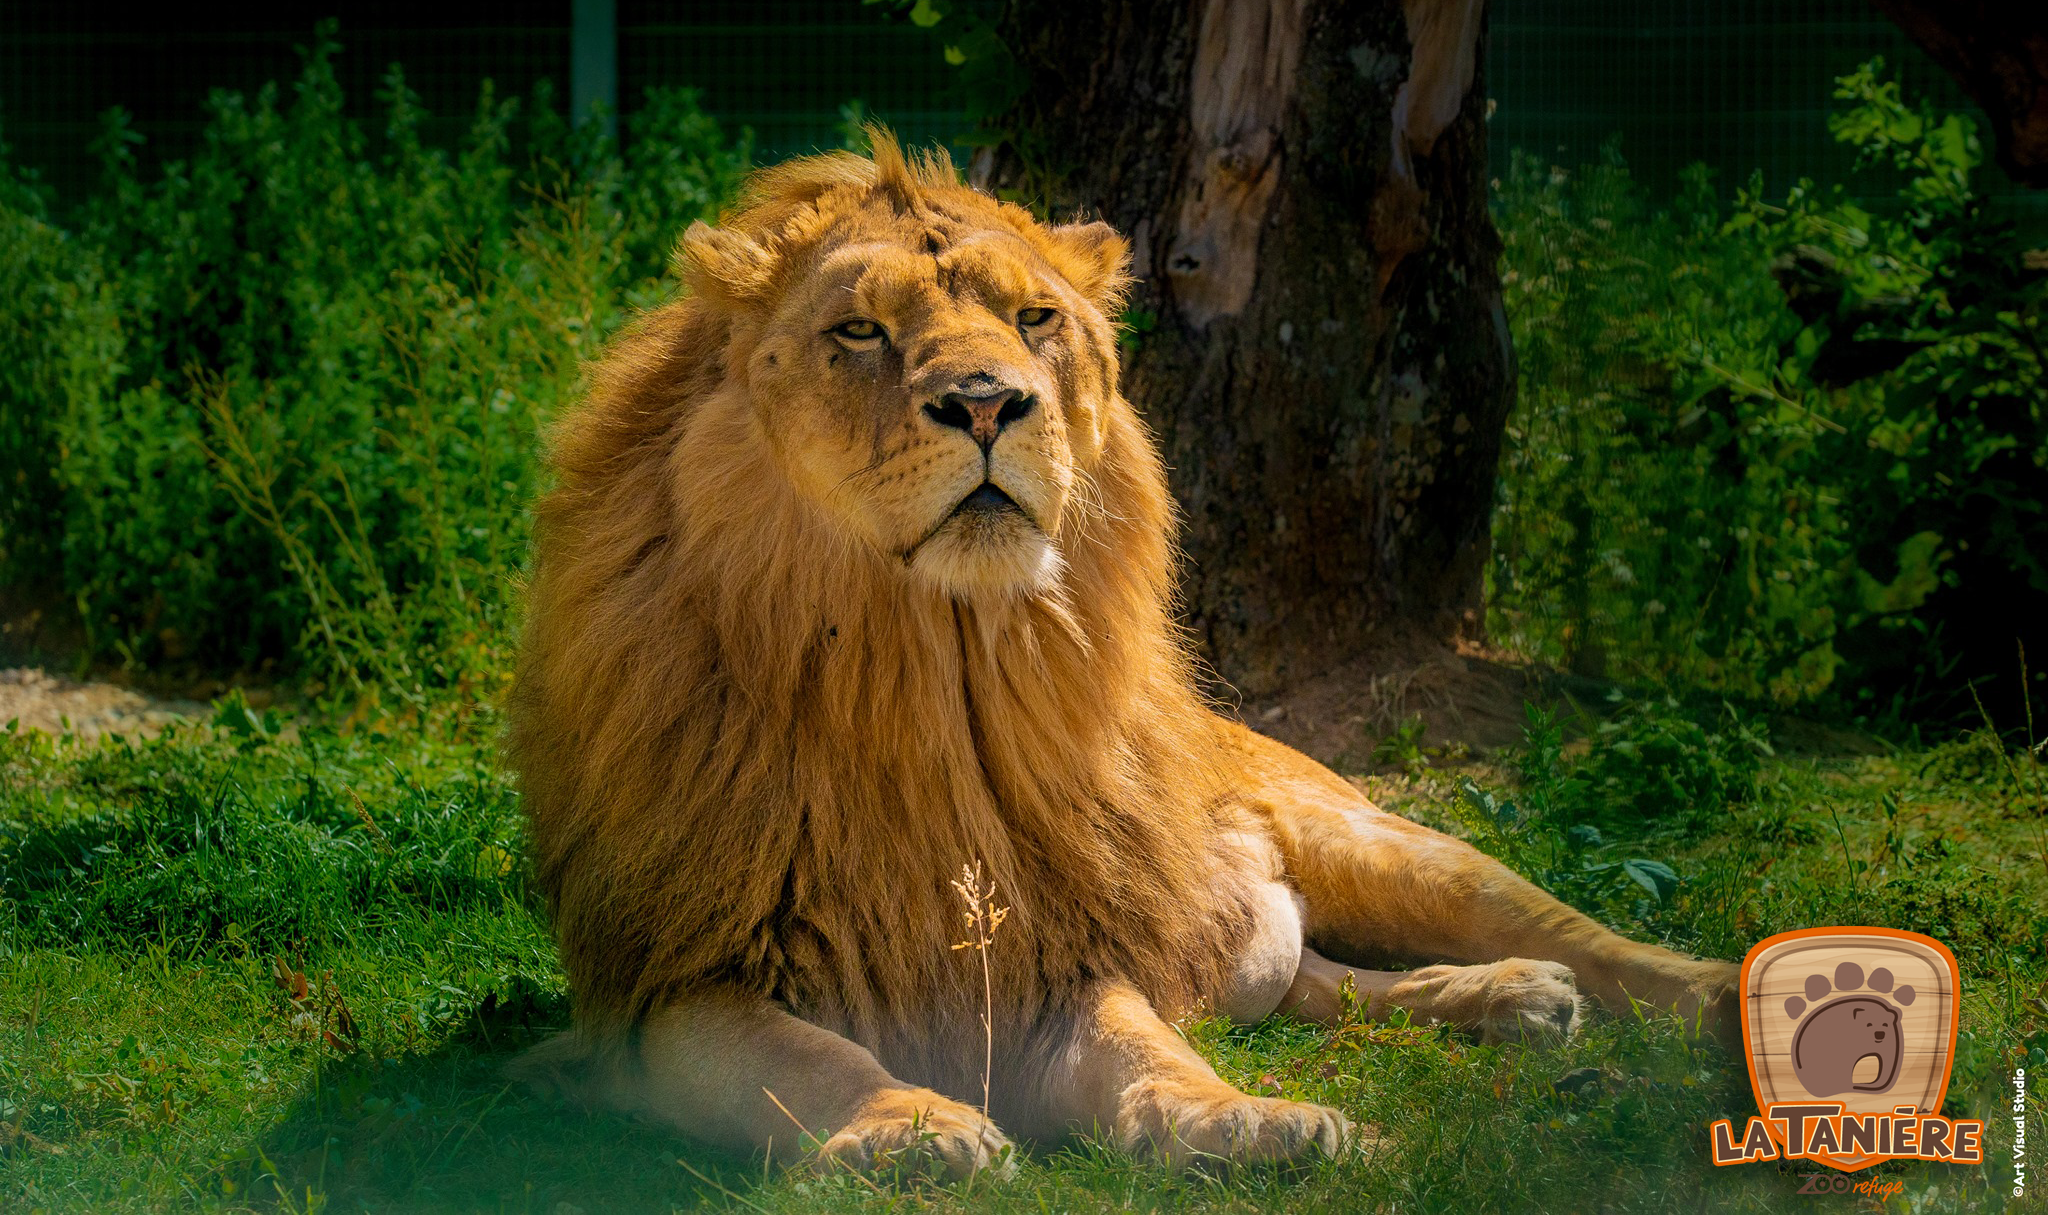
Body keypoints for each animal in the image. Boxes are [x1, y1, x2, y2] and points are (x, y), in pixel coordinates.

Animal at [506, 131, 1737, 1178]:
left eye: (1034, 318)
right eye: (859, 332)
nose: (987, 402)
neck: (928, 671)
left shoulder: (1062, 955)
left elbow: (1147, 1051)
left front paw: (1242, 1121)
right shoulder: (669, 987)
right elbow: (810, 1061)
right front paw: (907, 1131)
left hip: (1388, 846)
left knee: (1593, 942)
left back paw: (1712, 994)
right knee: (1322, 989)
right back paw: (1514, 1000)